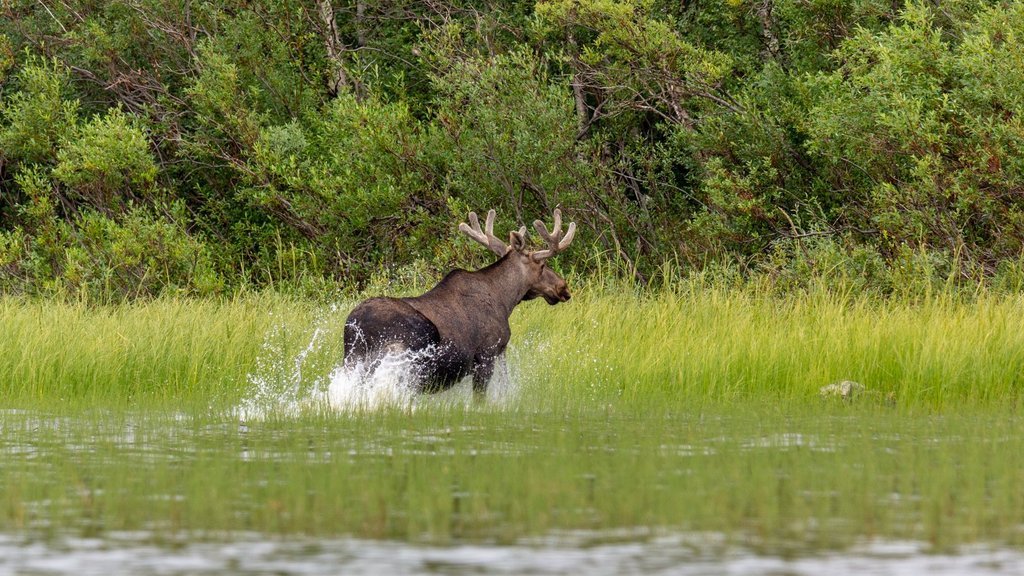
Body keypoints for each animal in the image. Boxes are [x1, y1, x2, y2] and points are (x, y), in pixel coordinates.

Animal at [344, 210, 577, 393]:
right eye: (542, 265)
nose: (563, 288)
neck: (505, 301)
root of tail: (356, 326)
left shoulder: (500, 352)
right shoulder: (487, 354)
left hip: (352, 360)